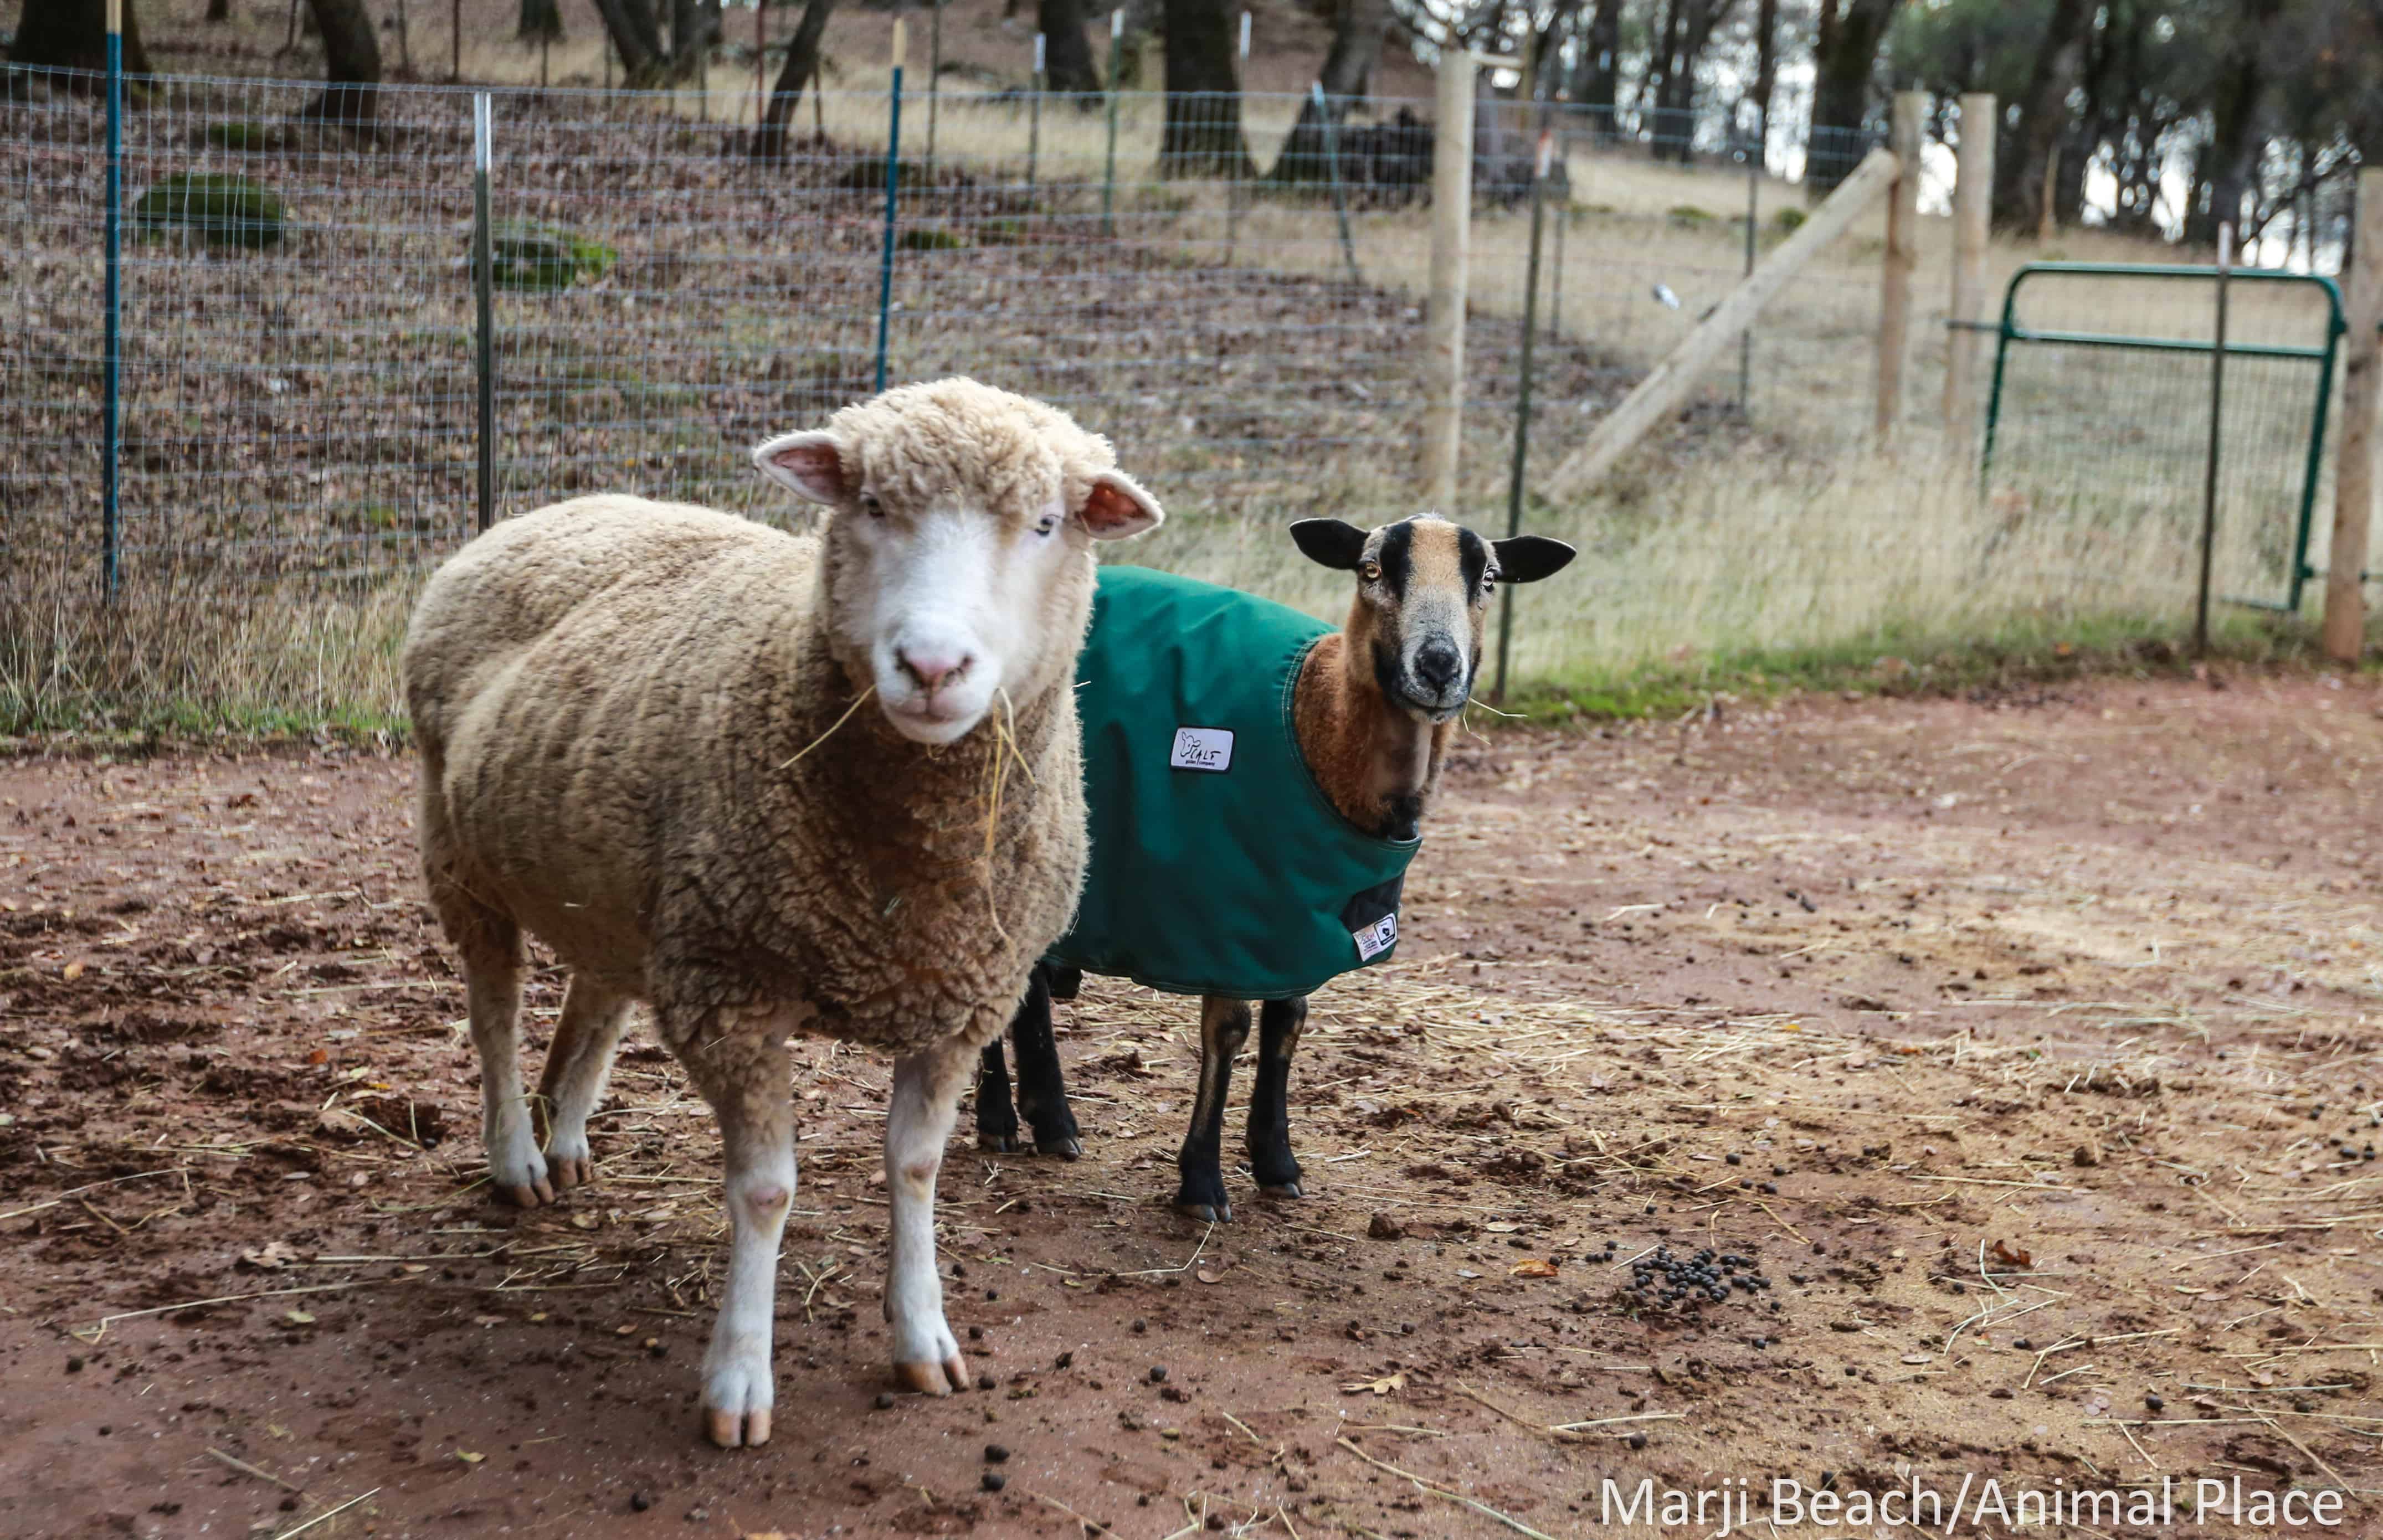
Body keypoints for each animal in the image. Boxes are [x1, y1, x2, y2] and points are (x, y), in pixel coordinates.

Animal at [401, 378, 1163, 1448]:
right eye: (871, 506)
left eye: (1048, 524)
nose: (932, 667)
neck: (909, 868)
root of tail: (547, 510)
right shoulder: (732, 990)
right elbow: (764, 1192)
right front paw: (738, 1381)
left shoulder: (963, 1003)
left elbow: (916, 1169)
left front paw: (922, 1335)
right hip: (458, 850)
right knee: (495, 1011)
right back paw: (515, 1153)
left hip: (621, 888)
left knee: (595, 999)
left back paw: (565, 1134)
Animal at [975, 514, 1575, 1220]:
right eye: (1372, 570)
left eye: (1488, 580)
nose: (1437, 666)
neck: (1319, 719)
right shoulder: (1226, 914)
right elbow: (1229, 1033)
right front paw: (1201, 1185)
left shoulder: (1299, 911)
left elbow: (1289, 1024)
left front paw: (1277, 1163)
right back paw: (1003, 1120)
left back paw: (1048, 1121)